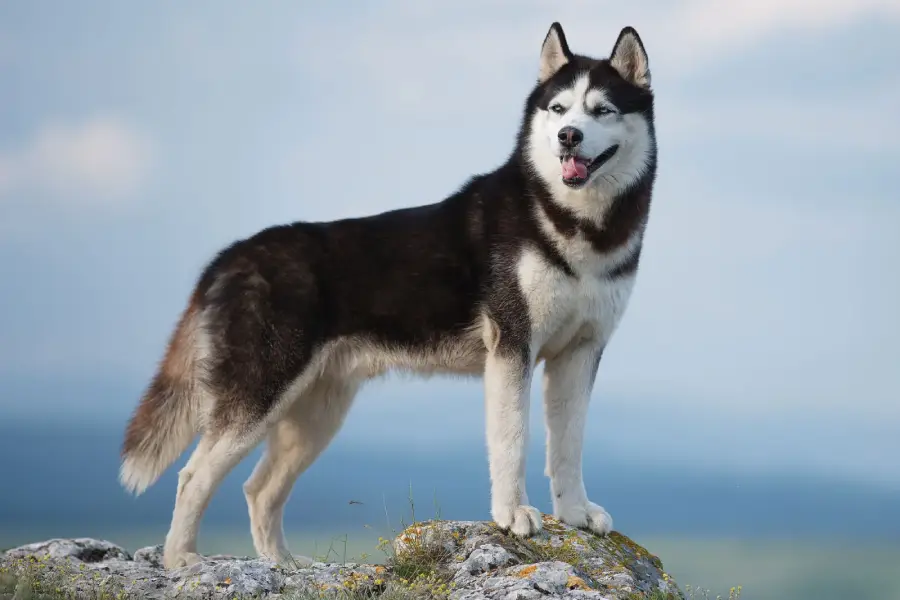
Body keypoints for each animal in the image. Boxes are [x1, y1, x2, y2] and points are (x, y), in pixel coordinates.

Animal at [119, 22, 656, 568]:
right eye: (559, 109)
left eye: (602, 110)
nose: (569, 137)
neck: (575, 224)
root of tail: (229, 255)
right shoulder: (512, 346)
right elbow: (513, 439)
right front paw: (513, 514)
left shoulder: (580, 352)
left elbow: (569, 445)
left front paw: (575, 514)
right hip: (259, 394)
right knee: (192, 476)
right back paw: (182, 560)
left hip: (316, 413)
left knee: (259, 488)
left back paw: (282, 564)